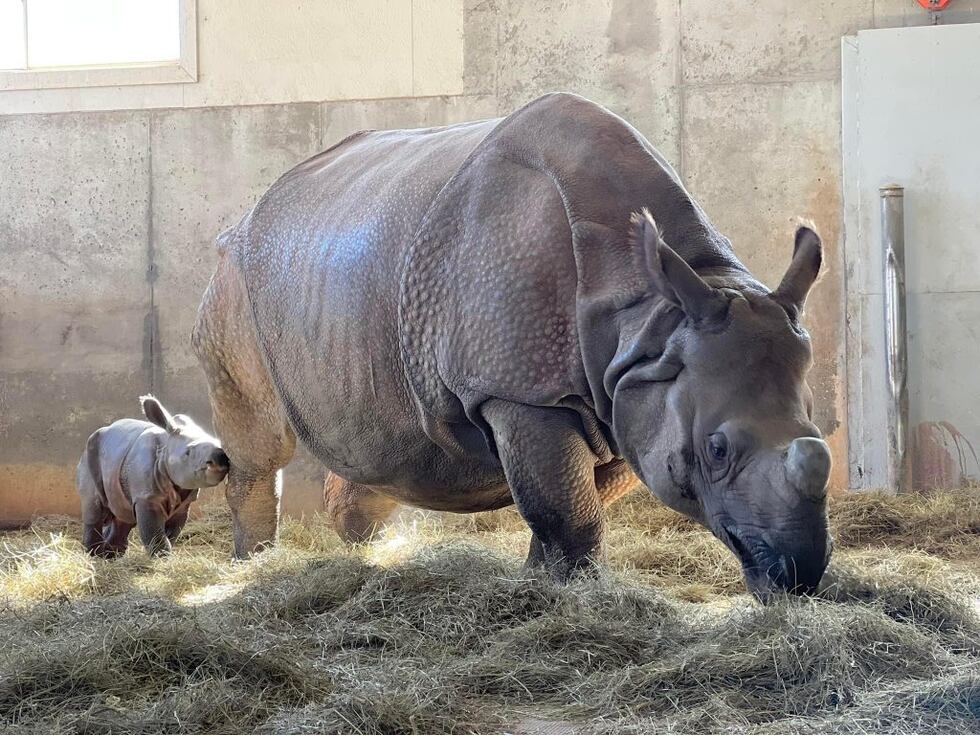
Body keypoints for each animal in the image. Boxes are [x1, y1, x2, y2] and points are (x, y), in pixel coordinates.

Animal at [76, 396, 230, 557]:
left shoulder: (184, 502)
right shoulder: (146, 496)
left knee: (123, 515)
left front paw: (166, 552)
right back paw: (95, 554)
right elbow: (154, 532)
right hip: (90, 454)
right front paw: (161, 556)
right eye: (188, 453)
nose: (219, 458)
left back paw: (112, 555)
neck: (165, 449)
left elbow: (172, 531)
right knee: (93, 509)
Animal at [193, 93, 833, 598]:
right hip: (234, 284)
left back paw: (362, 555)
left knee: (376, 435)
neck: (646, 314)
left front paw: (540, 580)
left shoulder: (621, 387)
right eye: (717, 450)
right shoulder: (521, 391)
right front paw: (563, 594)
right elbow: (568, 512)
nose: (797, 576)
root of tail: (248, 214)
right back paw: (252, 567)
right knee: (260, 442)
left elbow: (569, 503)